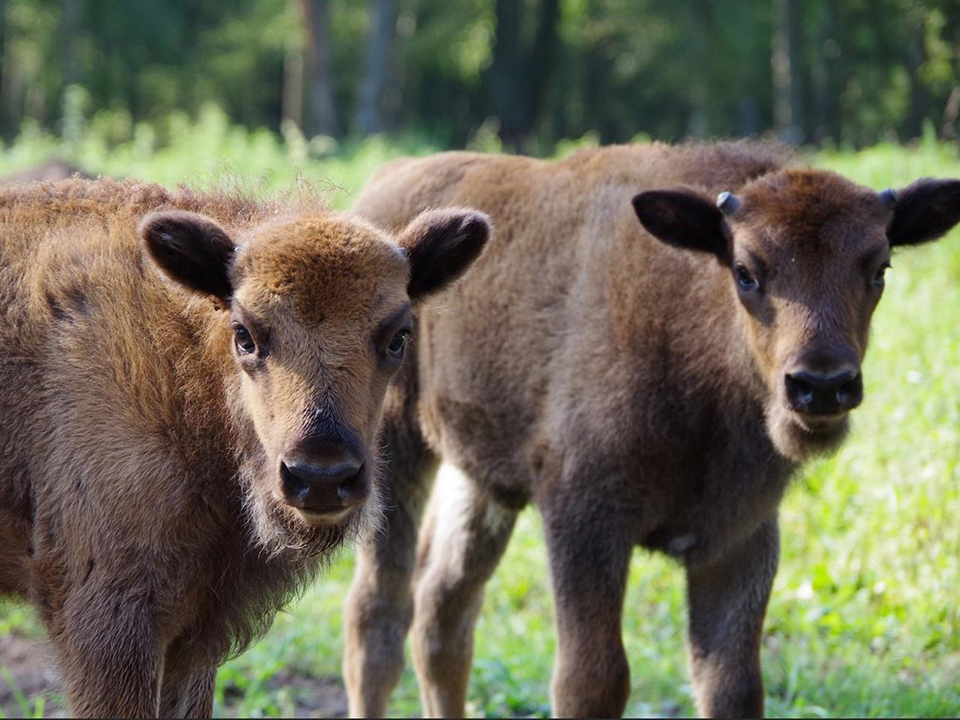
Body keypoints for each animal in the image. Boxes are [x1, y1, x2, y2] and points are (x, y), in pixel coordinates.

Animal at [0, 176, 488, 716]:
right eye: (245, 335)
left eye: (399, 337)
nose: (321, 478)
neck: (182, 367)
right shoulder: (108, 624)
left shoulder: (191, 637)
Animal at [344, 141, 960, 716]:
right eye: (746, 272)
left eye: (879, 268)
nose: (823, 384)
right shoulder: (585, 519)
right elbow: (592, 680)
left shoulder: (738, 538)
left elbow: (733, 685)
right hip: (393, 455)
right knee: (376, 621)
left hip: (482, 481)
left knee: (443, 615)